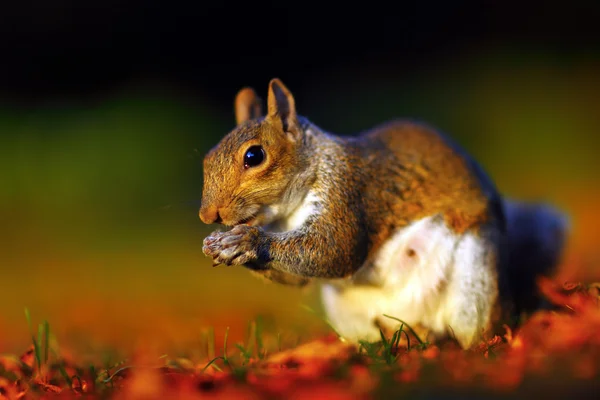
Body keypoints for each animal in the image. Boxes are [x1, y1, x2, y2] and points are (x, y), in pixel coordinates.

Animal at [199, 77, 568, 346]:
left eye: (254, 156)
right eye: (207, 158)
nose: (207, 216)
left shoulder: (349, 193)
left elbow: (336, 249)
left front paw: (246, 241)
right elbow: (299, 277)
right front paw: (218, 244)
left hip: (474, 280)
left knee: (475, 331)